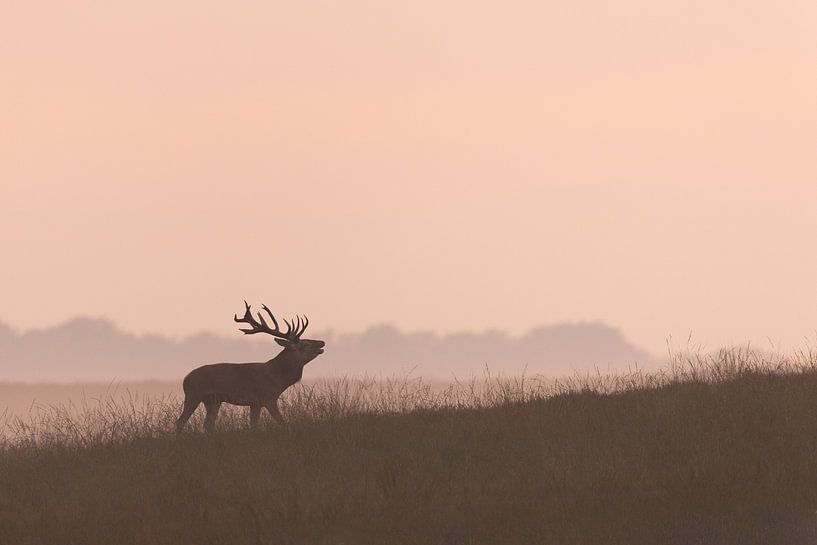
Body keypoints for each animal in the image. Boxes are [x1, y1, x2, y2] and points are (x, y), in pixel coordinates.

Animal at [175, 301, 325, 433]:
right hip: (193, 394)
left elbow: (253, 426)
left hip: (213, 401)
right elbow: (282, 422)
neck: (276, 376)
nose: (322, 342)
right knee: (180, 421)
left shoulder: (255, 403)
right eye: (305, 344)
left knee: (207, 425)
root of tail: (185, 379)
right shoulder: (267, 398)